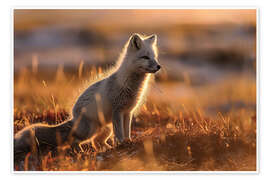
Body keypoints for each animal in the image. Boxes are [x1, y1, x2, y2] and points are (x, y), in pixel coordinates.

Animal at [14, 32, 160, 163]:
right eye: (145, 57)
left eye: (154, 57)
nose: (159, 66)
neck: (130, 84)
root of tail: (73, 117)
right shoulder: (117, 112)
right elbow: (119, 133)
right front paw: (121, 145)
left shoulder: (127, 112)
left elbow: (127, 131)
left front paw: (128, 142)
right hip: (90, 129)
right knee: (74, 141)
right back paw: (82, 152)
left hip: (106, 128)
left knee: (96, 142)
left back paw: (105, 149)